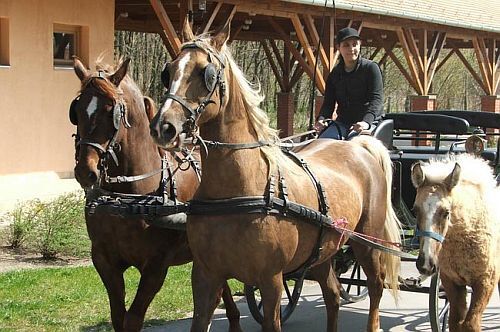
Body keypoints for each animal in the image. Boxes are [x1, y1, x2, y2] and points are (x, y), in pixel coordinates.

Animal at [70, 57, 242, 332]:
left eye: (112, 111)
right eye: (76, 111)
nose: (86, 171)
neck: (127, 200)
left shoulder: (156, 266)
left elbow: (132, 319)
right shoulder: (104, 260)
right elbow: (118, 317)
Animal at [149, 22, 402, 330]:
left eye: (205, 73)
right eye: (169, 71)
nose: (163, 127)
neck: (239, 189)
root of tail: (359, 146)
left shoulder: (271, 280)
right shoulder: (205, 275)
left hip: (368, 242)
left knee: (376, 286)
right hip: (323, 253)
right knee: (332, 294)